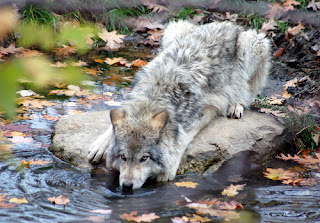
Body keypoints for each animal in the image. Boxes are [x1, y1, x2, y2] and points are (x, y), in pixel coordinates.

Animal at [87, 20, 270, 190]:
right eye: (123, 157)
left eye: (144, 158)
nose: (126, 186)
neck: (154, 97)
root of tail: (228, 24)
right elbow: (114, 123)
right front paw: (100, 145)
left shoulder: (209, 108)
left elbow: (182, 138)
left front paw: (169, 167)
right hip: (172, 29)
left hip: (256, 43)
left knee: (248, 92)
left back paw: (236, 105)